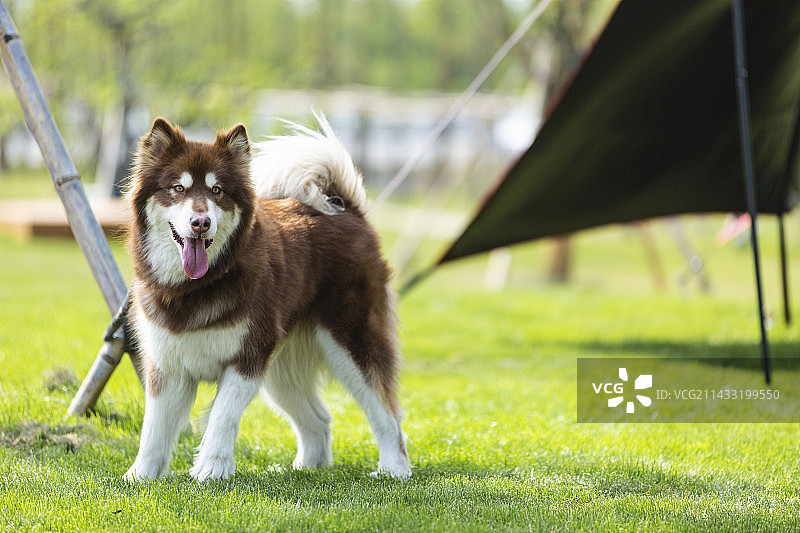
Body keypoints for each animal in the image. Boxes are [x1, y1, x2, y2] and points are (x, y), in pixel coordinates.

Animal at [126, 114, 412, 480]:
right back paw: (306, 469)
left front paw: (212, 470)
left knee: (386, 412)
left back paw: (394, 470)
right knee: (320, 419)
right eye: (179, 188)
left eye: (217, 191)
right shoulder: (167, 366)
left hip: (352, 343)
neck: (196, 287)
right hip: (281, 371)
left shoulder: (248, 359)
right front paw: (141, 476)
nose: (201, 222)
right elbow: (154, 429)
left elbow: (222, 417)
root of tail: (345, 208)